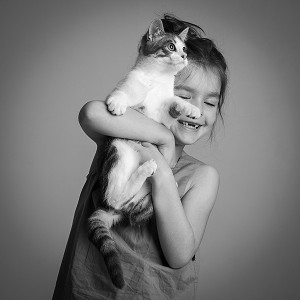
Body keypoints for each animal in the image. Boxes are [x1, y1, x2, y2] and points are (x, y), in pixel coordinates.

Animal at [86, 18, 200, 288]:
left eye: (184, 49)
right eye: (171, 46)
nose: (183, 56)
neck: (156, 80)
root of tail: (115, 211)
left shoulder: (163, 114)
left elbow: (171, 106)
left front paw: (189, 108)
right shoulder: (129, 85)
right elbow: (125, 94)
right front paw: (118, 103)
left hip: (144, 204)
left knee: (135, 206)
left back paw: (157, 176)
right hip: (118, 152)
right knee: (116, 194)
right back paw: (145, 168)